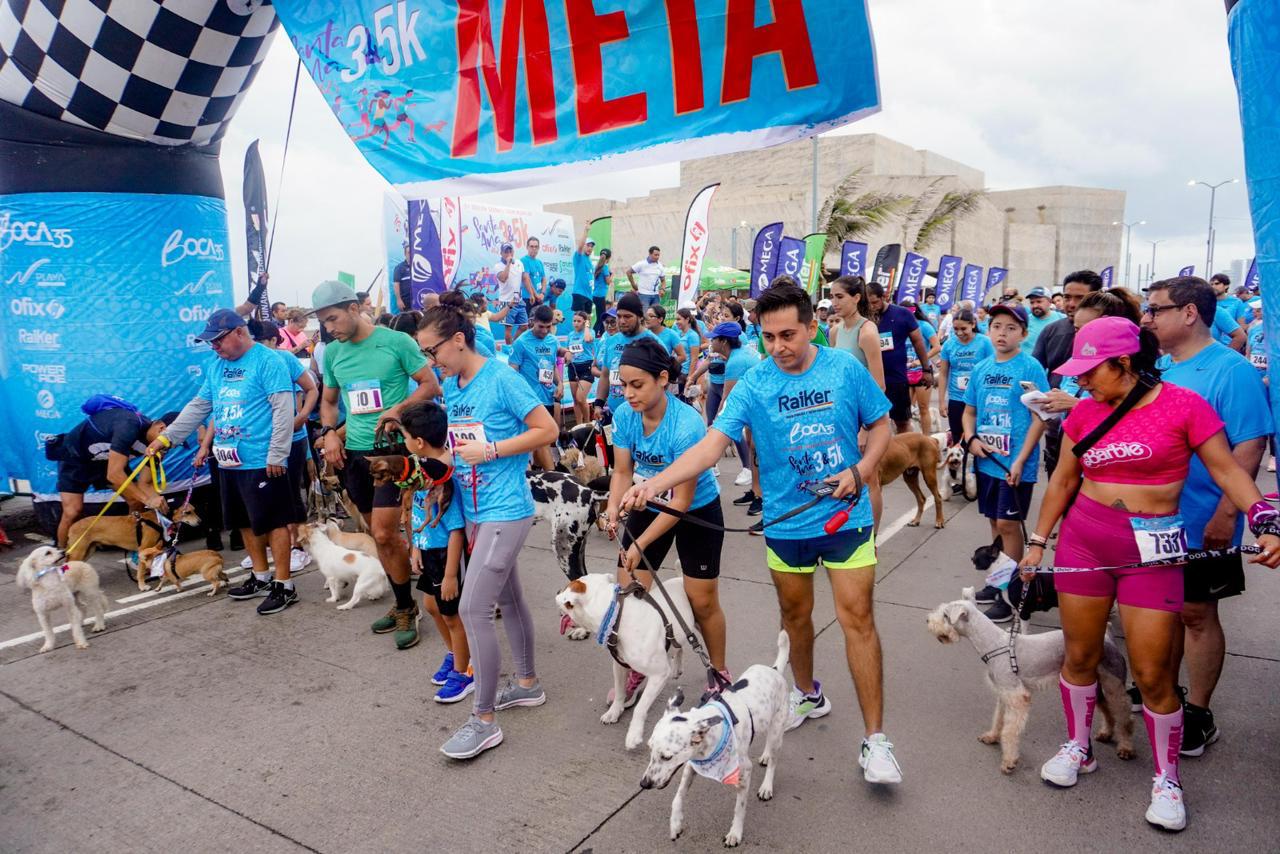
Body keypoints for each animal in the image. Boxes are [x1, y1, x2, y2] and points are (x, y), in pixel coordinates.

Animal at [67, 504, 200, 563]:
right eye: (187, 512)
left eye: (194, 510)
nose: (200, 521)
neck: (161, 518)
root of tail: (71, 526)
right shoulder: (144, 547)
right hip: (79, 552)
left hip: (89, 550)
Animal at [555, 573, 696, 747]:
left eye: (566, 588)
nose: (557, 590)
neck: (616, 617)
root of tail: (679, 578)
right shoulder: (620, 666)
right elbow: (620, 692)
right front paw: (614, 712)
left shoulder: (659, 675)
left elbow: (640, 707)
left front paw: (633, 734)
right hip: (679, 632)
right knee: (679, 646)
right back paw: (677, 667)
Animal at [640, 627, 788, 850]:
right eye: (649, 750)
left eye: (667, 757)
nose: (644, 784)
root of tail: (775, 670)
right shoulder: (691, 766)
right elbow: (677, 797)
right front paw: (675, 824)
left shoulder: (744, 773)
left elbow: (739, 808)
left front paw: (735, 833)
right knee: (768, 747)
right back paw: (764, 755)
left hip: (778, 730)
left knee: (774, 759)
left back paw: (766, 786)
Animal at [926, 588, 1136, 773]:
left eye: (945, 614)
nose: (927, 620)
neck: (994, 644)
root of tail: (1108, 636)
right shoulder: (1004, 694)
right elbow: (999, 719)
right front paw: (992, 736)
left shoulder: (1018, 698)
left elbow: (1009, 731)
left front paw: (1009, 761)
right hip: (1096, 684)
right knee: (1107, 710)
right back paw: (1106, 733)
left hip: (1114, 686)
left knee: (1125, 717)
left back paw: (1126, 747)